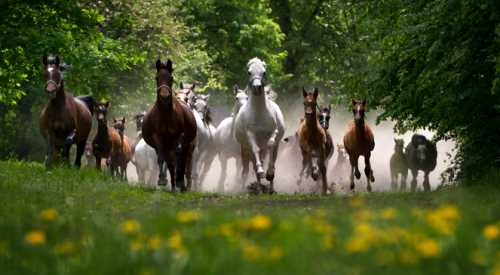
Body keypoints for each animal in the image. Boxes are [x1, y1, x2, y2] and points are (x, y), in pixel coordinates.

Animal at [143, 58, 197, 192]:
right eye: (157, 77)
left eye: (171, 78)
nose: (164, 97)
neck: (166, 115)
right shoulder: (157, 137)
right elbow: (162, 158)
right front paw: (162, 180)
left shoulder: (178, 137)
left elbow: (178, 159)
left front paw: (178, 182)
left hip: (183, 144)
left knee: (181, 160)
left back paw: (180, 183)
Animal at [232, 57, 284, 194]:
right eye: (249, 72)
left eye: (264, 72)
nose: (256, 87)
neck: (259, 112)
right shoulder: (250, 135)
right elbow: (255, 150)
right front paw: (261, 171)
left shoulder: (273, 132)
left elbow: (270, 143)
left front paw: (269, 174)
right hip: (245, 149)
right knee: (253, 164)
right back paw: (259, 189)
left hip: (274, 148)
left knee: (272, 158)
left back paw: (271, 188)